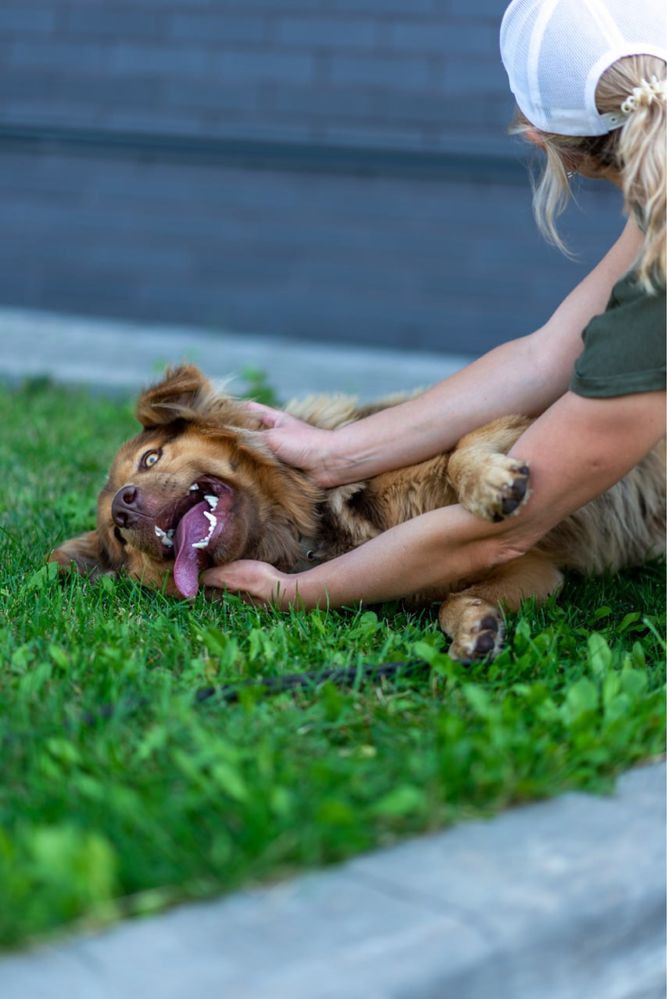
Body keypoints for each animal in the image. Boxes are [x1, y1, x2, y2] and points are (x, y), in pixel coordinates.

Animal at [49, 364, 664, 660]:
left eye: (150, 458)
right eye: (117, 538)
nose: (125, 506)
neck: (312, 526)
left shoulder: (530, 426)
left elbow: (463, 450)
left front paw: (491, 484)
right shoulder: (529, 562)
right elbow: (458, 597)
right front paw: (476, 626)